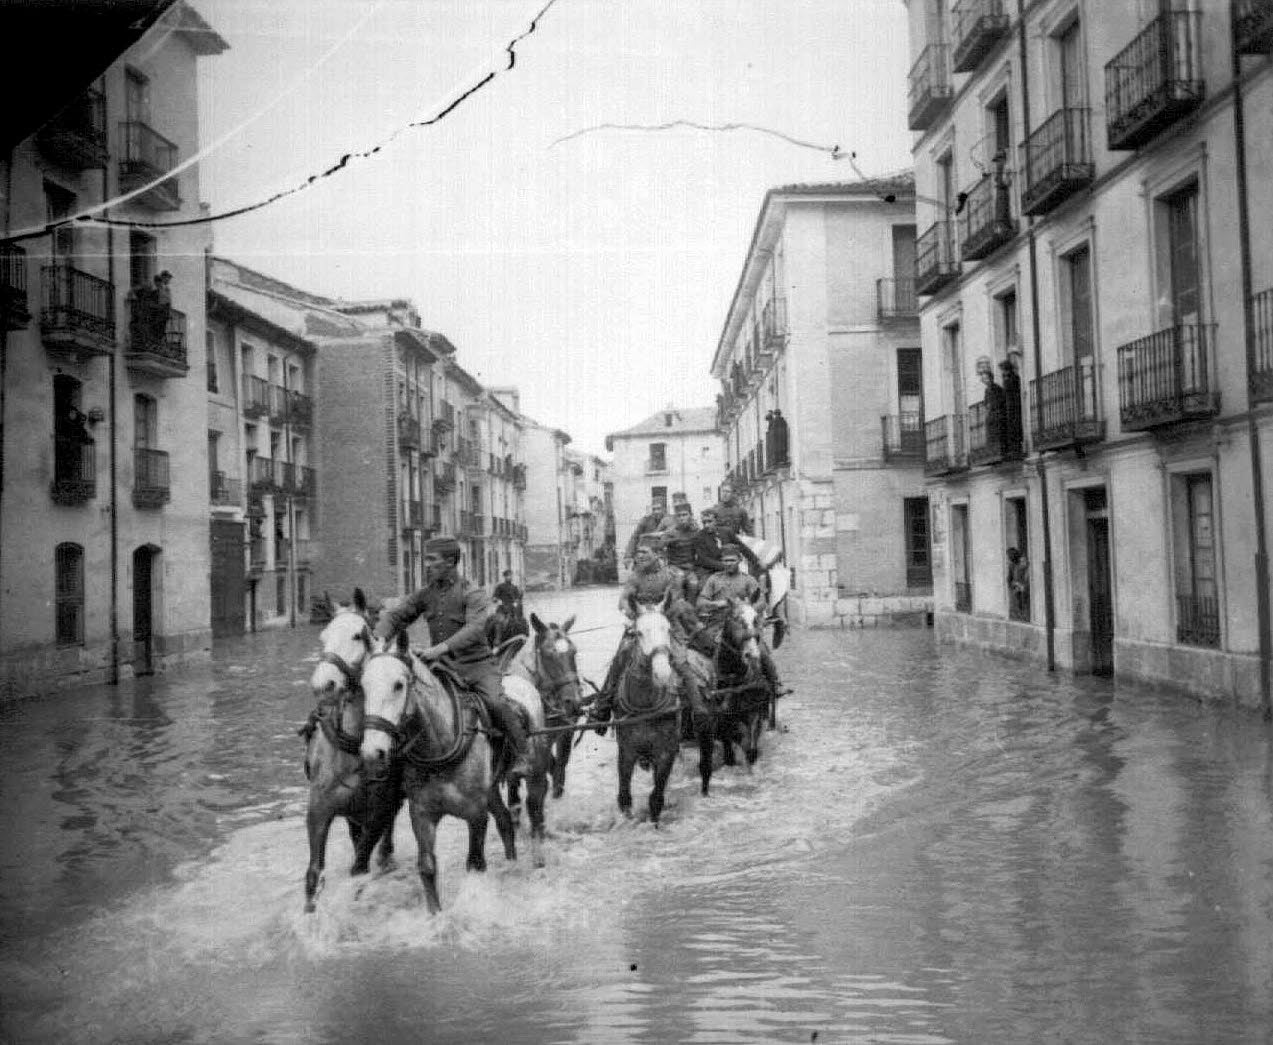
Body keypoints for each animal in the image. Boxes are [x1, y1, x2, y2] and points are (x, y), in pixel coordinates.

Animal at [300, 588, 399, 911]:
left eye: (358, 635)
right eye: (323, 636)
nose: (323, 685)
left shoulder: (379, 811)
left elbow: (361, 866)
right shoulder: (319, 810)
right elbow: (313, 873)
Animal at [358, 628, 547, 911]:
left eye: (399, 685)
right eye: (363, 686)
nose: (373, 751)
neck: (441, 744)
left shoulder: (476, 814)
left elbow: (475, 864)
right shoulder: (422, 815)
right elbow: (427, 868)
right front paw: (435, 914)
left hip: (534, 773)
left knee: (534, 812)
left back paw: (538, 858)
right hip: (491, 789)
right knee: (504, 821)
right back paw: (511, 862)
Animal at [506, 610, 585, 799]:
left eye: (574, 652)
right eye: (548, 655)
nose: (574, 701)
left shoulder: (566, 730)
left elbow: (562, 759)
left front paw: (558, 785)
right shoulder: (540, 738)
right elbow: (549, 761)